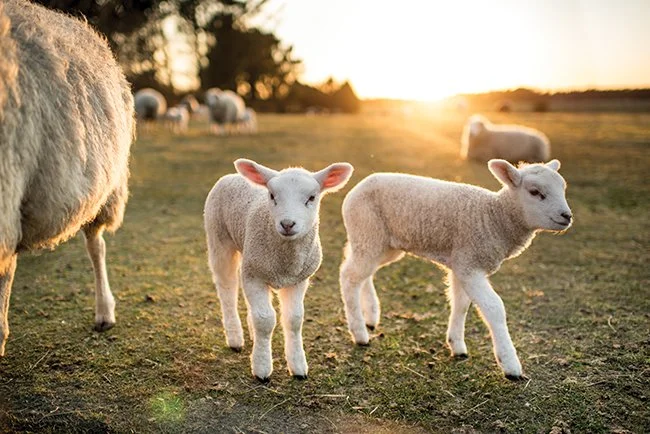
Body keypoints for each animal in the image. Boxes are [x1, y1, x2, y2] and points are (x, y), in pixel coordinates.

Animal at [204, 159, 353, 381]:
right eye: (272, 196)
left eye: (311, 197)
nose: (287, 224)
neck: (285, 263)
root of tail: (232, 175)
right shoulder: (255, 275)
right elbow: (265, 320)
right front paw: (262, 367)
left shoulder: (297, 279)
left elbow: (294, 319)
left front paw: (298, 366)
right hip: (219, 240)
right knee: (227, 290)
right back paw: (235, 338)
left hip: (248, 256)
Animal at [339, 159, 572, 380]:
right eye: (535, 192)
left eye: (563, 188)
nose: (567, 216)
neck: (494, 217)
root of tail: (360, 185)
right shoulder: (469, 265)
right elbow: (494, 308)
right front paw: (510, 364)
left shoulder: (462, 263)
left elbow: (461, 304)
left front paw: (457, 345)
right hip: (367, 231)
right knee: (349, 276)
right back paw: (359, 333)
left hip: (383, 244)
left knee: (362, 272)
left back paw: (370, 316)